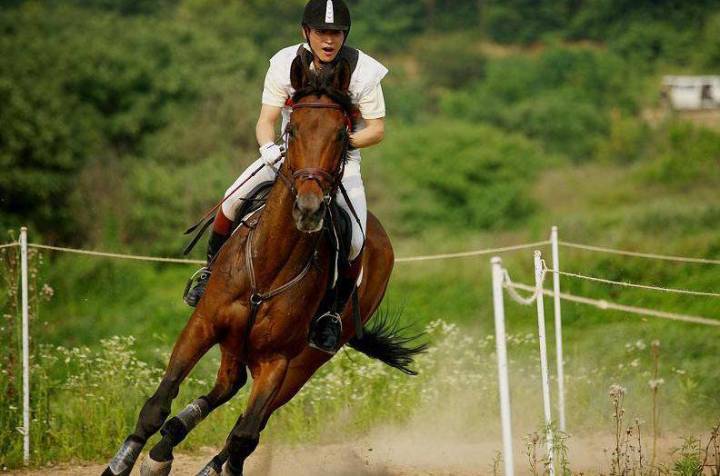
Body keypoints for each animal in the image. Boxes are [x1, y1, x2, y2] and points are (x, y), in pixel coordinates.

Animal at [104, 55, 424, 476]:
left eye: (342, 135)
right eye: (293, 130)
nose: (309, 209)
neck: (270, 268)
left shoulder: (277, 362)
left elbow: (244, 436)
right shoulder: (203, 324)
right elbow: (158, 403)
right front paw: (124, 462)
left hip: (306, 363)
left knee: (248, 420)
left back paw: (186, 451)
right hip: (236, 342)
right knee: (226, 385)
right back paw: (170, 440)